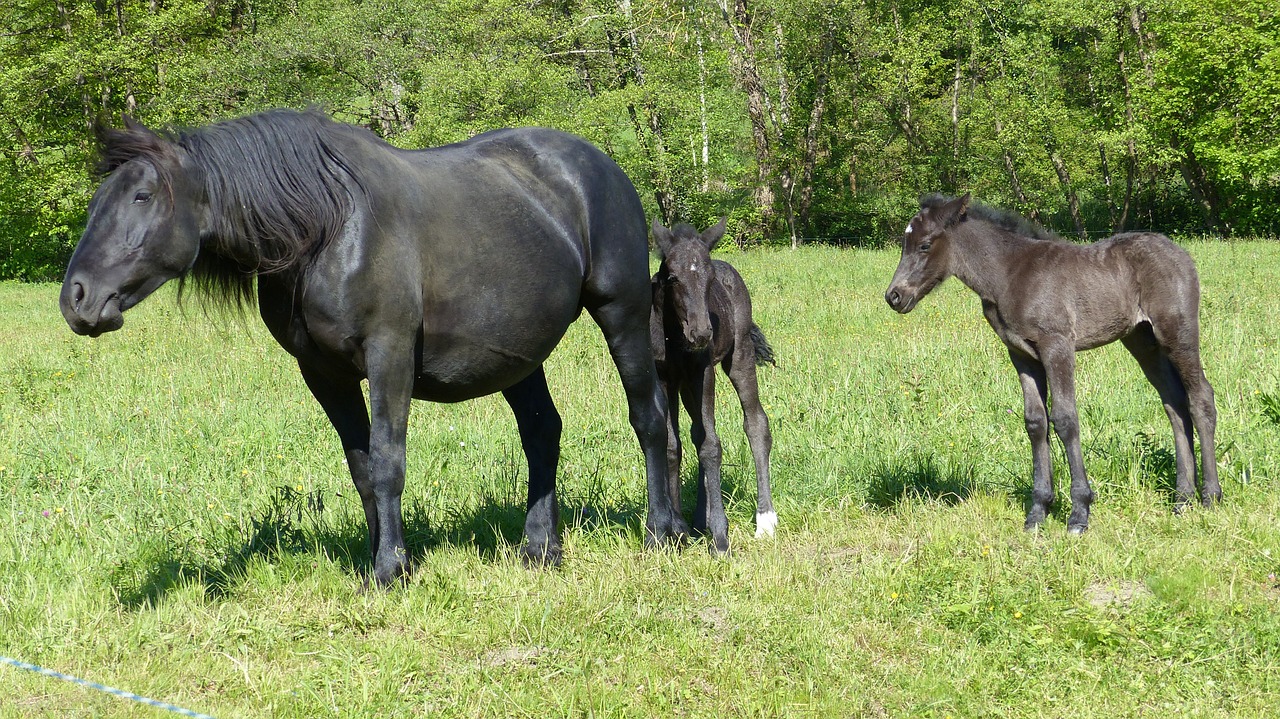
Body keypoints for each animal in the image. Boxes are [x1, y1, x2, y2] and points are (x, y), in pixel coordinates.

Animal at [60, 109, 691, 585]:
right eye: (97, 203)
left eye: (143, 196)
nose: (77, 298)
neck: (329, 228)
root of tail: (602, 165)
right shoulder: (324, 374)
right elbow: (362, 467)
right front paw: (379, 559)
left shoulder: (389, 357)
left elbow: (389, 461)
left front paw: (392, 570)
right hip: (517, 355)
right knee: (542, 432)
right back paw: (541, 548)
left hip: (622, 314)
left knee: (649, 418)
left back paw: (663, 532)